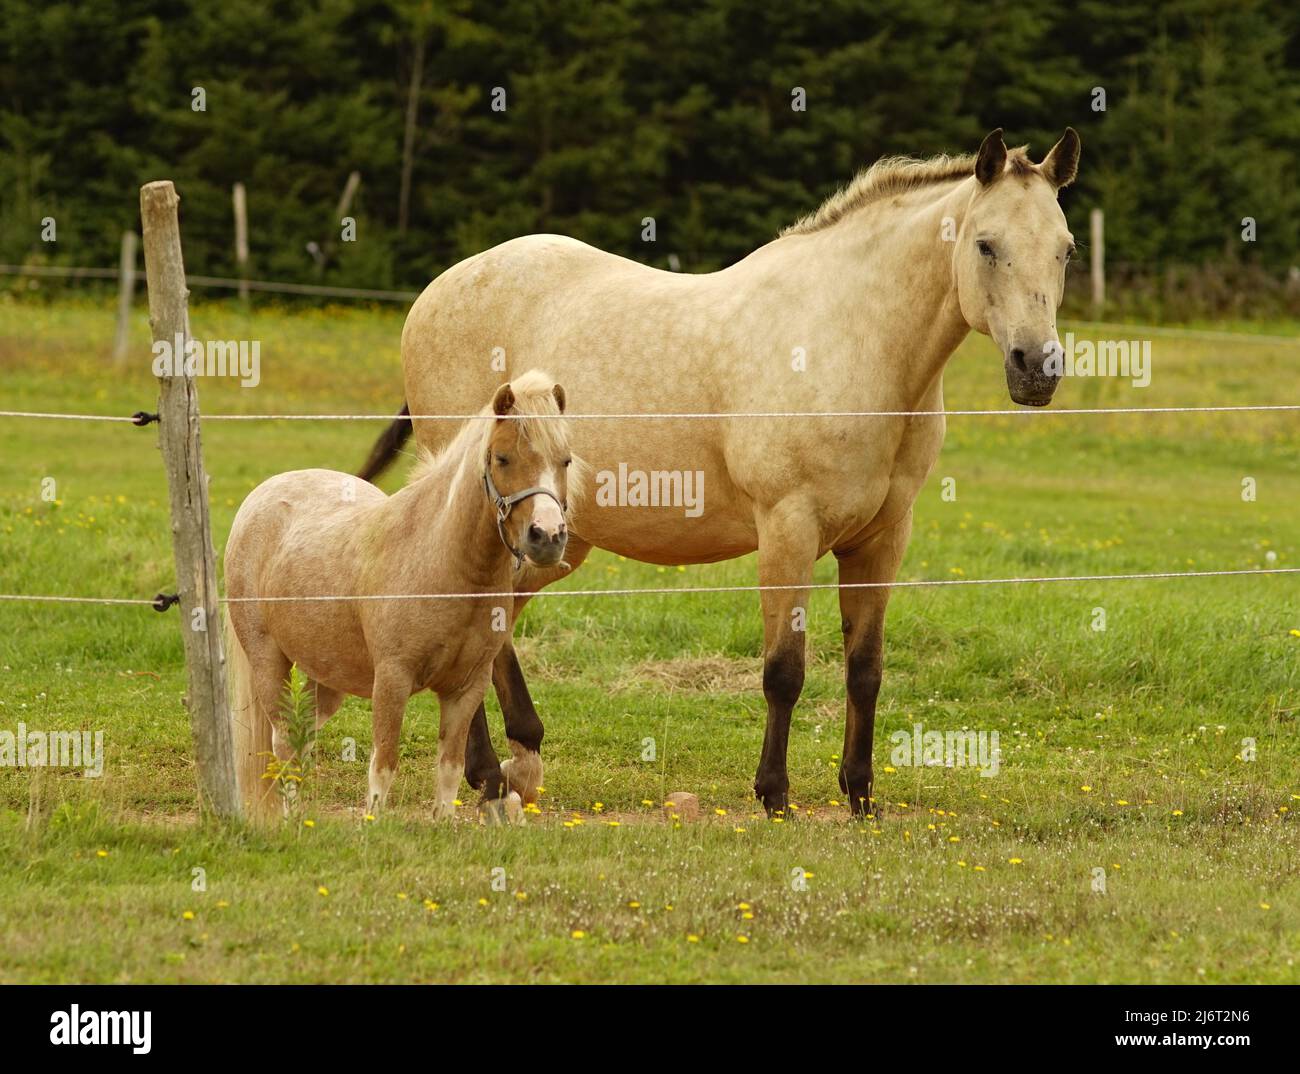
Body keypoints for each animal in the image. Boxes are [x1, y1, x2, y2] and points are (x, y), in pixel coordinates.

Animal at [225, 371, 575, 820]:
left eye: (565, 460)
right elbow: (384, 765)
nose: (547, 536)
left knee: (301, 737)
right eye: (502, 458)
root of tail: (261, 496)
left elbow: (448, 770)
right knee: (284, 742)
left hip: (328, 677)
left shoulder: (466, 687)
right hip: (269, 660)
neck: (444, 562)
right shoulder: (392, 679)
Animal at [357, 128, 1081, 817]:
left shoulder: (881, 538)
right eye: (985, 245)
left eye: (1066, 249)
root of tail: (436, 293)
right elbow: (784, 672)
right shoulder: (789, 529)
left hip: (555, 539)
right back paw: (485, 771)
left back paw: (510, 764)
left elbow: (866, 669)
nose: (1036, 367)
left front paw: (861, 797)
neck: (849, 340)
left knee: (497, 619)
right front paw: (775, 795)